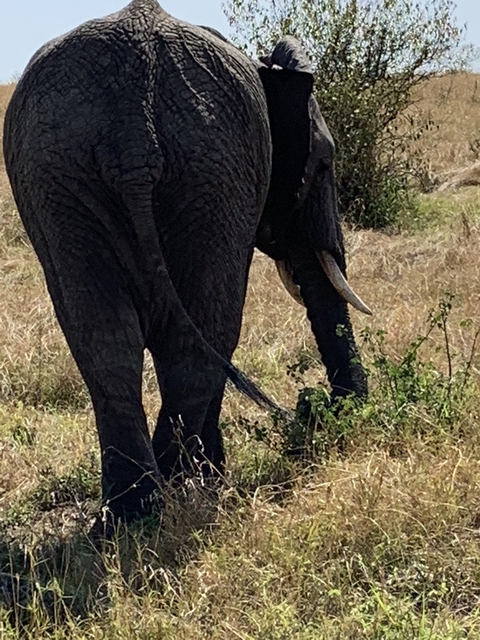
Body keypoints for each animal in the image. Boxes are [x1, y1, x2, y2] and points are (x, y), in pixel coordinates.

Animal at [3, 0, 370, 523]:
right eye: (322, 163)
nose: (310, 404)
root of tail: (133, 132)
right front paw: (211, 474)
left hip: (61, 173)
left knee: (103, 342)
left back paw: (131, 514)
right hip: (206, 168)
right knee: (205, 333)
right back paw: (179, 488)